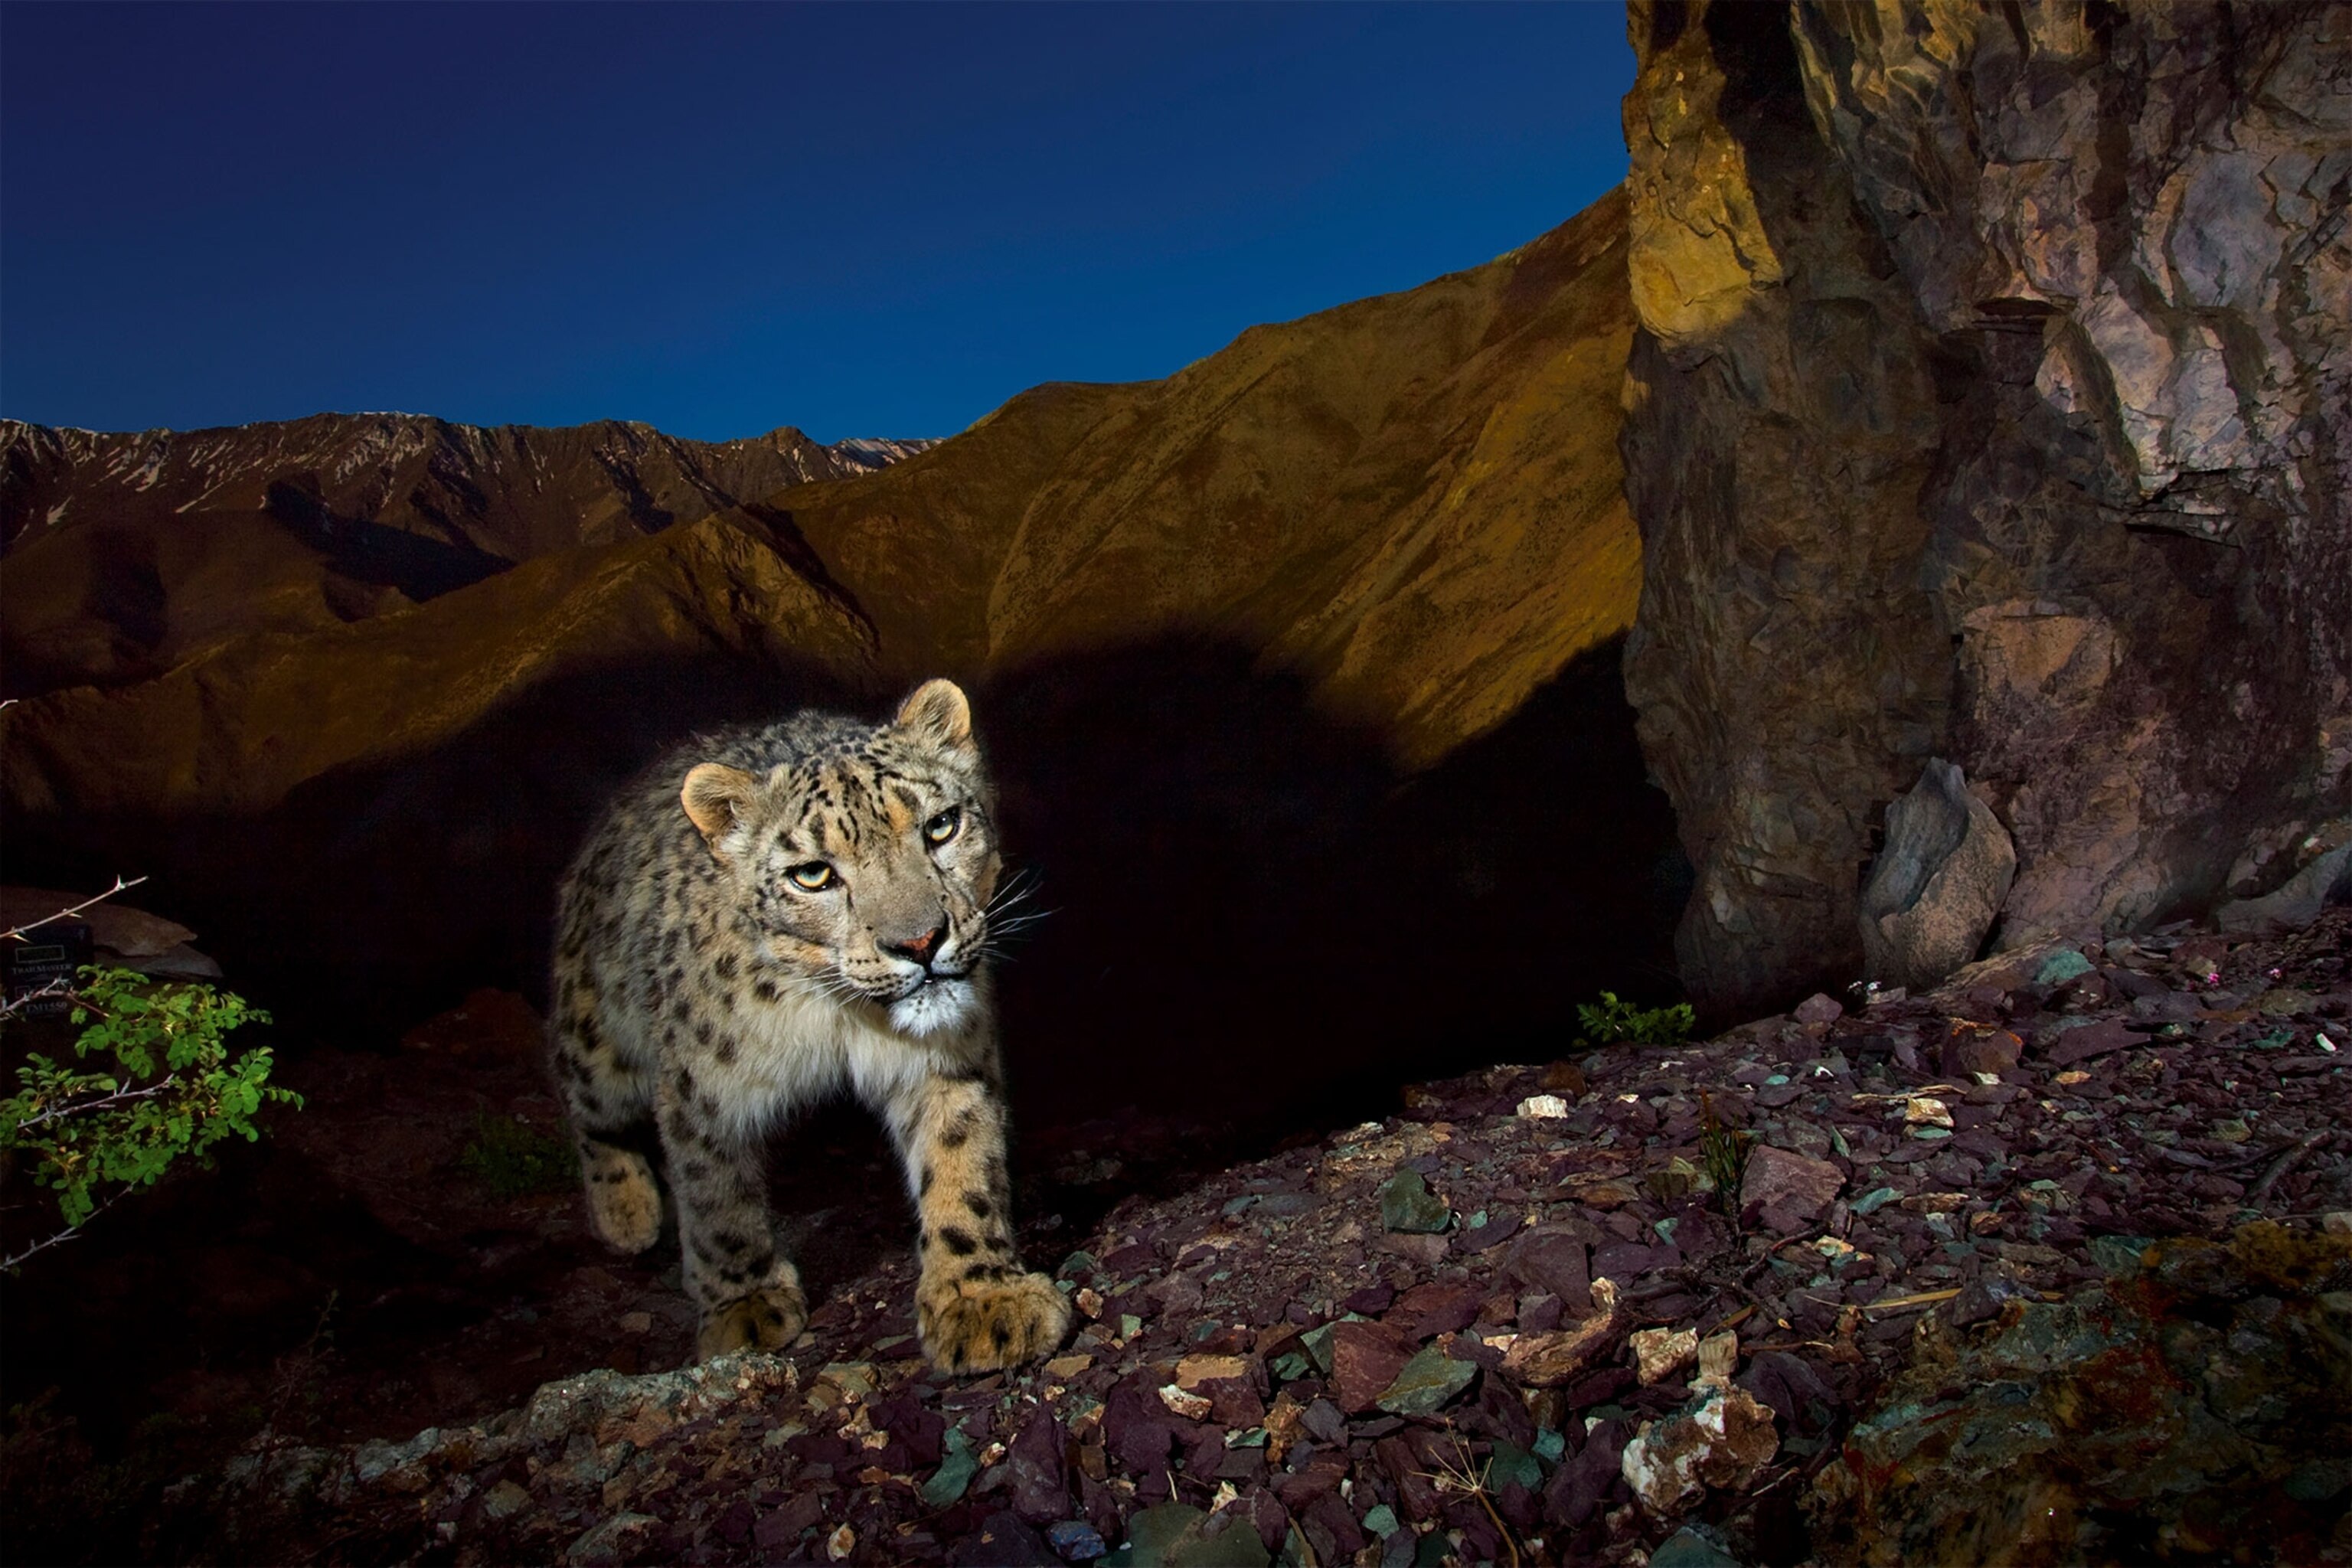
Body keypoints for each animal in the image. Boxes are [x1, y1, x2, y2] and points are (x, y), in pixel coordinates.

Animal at [547, 678, 1070, 1371]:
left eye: (940, 826)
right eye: (813, 873)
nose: (921, 942)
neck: (842, 1021)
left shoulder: (943, 1060)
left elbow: (962, 1162)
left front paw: (981, 1299)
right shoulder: (702, 1091)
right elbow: (715, 1196)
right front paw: (743, 1306)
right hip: (599, 1043)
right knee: (586, 1104)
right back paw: (625, 1214)